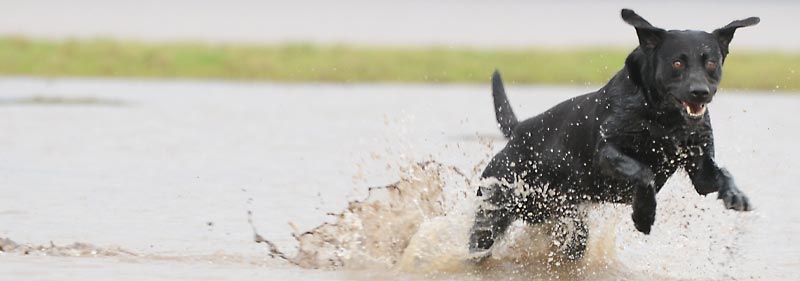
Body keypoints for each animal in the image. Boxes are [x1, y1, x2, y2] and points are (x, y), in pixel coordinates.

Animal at [468, 9, 756, 260]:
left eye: (711, 63)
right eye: (677, 63)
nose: (700, 92)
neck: (663, 120)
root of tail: (519, 130)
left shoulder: (701, 174)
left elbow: (721, 174)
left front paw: (734, 193)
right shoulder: (606, 154)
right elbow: (643, 172)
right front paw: (643, 214)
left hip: (567, 222)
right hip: (495, 209)